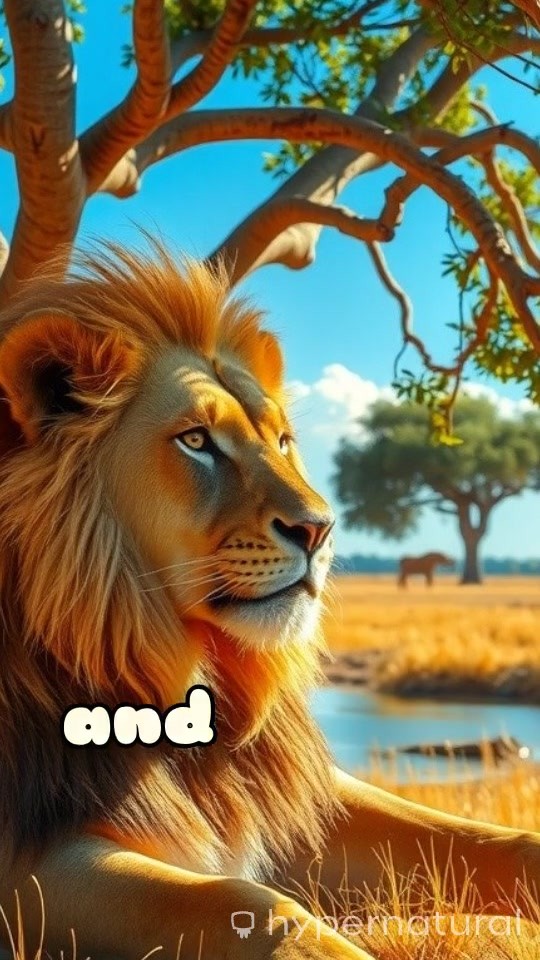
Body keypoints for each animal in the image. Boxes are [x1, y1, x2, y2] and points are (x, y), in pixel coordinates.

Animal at [0, 242, 537, 960]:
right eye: (197, 441)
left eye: (282, 441)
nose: (321, 529)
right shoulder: (28, 866)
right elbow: (253, 905)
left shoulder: (290, 796)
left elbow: (488, 841)